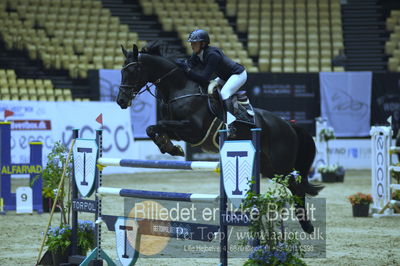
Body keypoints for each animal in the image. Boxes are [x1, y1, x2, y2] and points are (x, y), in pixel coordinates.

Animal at [115, 43, 322, 233]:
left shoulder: (193, 130)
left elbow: (158, 126)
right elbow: (153, 128)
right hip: (269, 168)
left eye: (132, 71)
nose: (121, 101)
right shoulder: (179, 130)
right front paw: (170, 147)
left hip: (281, 166)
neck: (180, 89)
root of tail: (289, 125)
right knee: (294, 187)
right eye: (121, 71)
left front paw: (170, 147)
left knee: (297, 188)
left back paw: (307, 226)